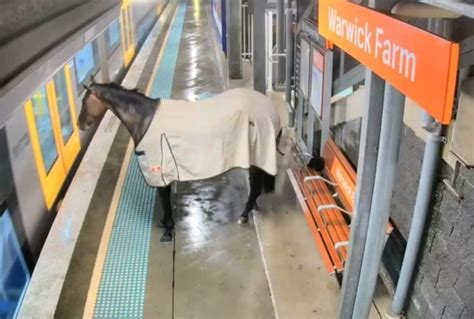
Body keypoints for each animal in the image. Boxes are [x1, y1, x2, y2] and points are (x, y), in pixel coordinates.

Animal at [76, 78, 280, 242]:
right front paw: (164, 224)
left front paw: (167, 230)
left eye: (84, 101)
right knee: (256, 186)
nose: (79, 125)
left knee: (255, 186)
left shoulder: (158, 171)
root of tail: (270, 109)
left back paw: (244, 215)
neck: (145, 119)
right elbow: (165, 198)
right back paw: (251, 208)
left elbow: (164, 199)